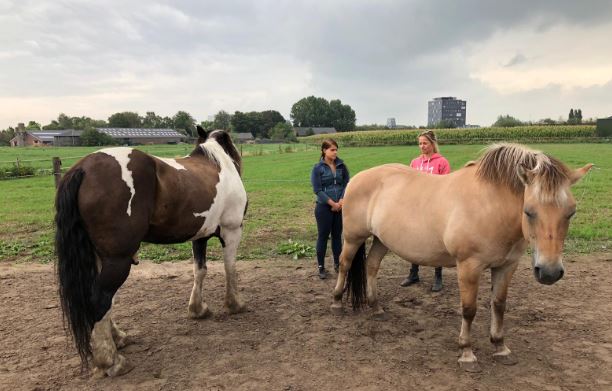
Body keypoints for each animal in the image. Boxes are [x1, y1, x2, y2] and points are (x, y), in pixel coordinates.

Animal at [55, 127, 246, 376]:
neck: (219, 164)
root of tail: (83, 169)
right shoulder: (232, 231)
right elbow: (230, 268)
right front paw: (235, 304)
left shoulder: (200, 236)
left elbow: (200, 271)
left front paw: (198, 309)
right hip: (118, 260)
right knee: (100, 298)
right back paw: (111, 361)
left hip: (99, 257)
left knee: (102, 300)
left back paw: (118, 339)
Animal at [332, 145, 596, 374]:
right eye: (529, 211)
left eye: (571, 212)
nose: (550, 272)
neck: (492, 205)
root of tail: (357, 178)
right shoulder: (469, 266)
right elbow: (469, 310)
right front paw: (467, 354)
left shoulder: (506, 266)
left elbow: (499, 305)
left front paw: (500, 347)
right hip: (353, 238)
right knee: (344, 265)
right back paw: (336, 303)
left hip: (380, 240)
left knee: (372, 266)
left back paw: (376, 307)